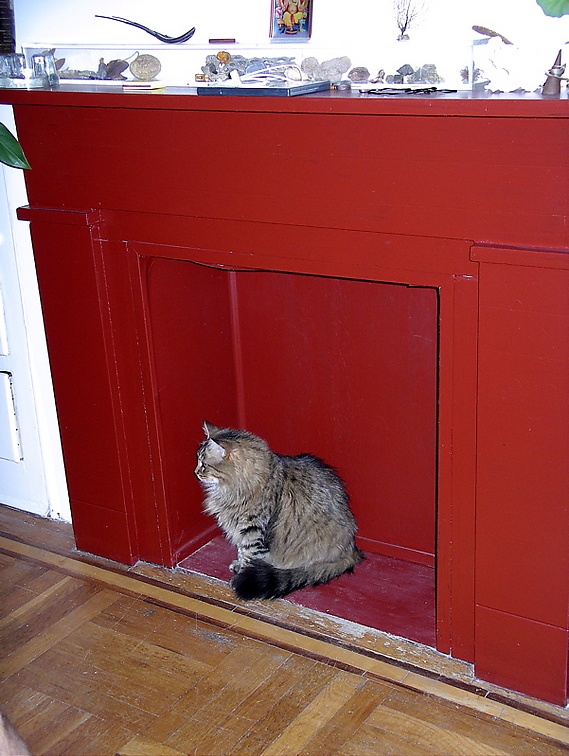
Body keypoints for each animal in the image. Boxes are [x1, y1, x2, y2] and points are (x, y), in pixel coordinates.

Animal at [194, 421, 363, 600]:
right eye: (198, 461)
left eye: (204, 465)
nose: (195, 472)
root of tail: (352, 549)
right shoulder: (240, 530)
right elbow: (241, 551)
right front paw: (238, 565)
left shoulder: (254, 532)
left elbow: (249, 556)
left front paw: (241, 576)